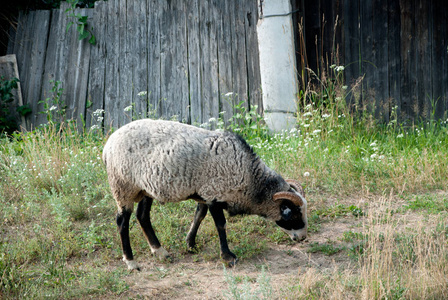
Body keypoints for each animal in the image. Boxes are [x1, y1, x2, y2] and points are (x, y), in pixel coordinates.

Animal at [103, 119, 306, 270]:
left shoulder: (205, 193)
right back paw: (131, 262)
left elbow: (199, 215)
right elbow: (220, 225)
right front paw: (228, 257)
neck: (250, 179)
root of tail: (107, 147)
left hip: (144, 188)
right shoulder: (215, 194)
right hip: (122, 186)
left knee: (143, 216)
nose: (303, 237)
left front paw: (191, 244)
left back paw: (161, 252)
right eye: (292, 213)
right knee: (122, 222)